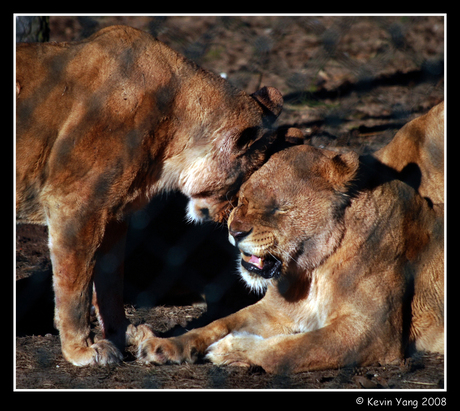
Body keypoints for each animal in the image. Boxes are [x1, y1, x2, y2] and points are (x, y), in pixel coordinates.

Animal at [16, 25, 290, 366]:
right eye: (241, 189)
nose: (228, 220)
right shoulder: (74, 204)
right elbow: (74, 286)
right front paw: (82, 349)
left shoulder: (114, 214)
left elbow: (110, 282)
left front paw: (123, 334)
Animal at [138, 142, 444, 374]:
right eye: (242, 200)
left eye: (279, 209)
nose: (235, 232)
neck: (313, 270)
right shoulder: (276, 310)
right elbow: (218, 323)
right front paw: (166, 345)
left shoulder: (373, 332)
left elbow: (292, 349)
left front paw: (232, 349)